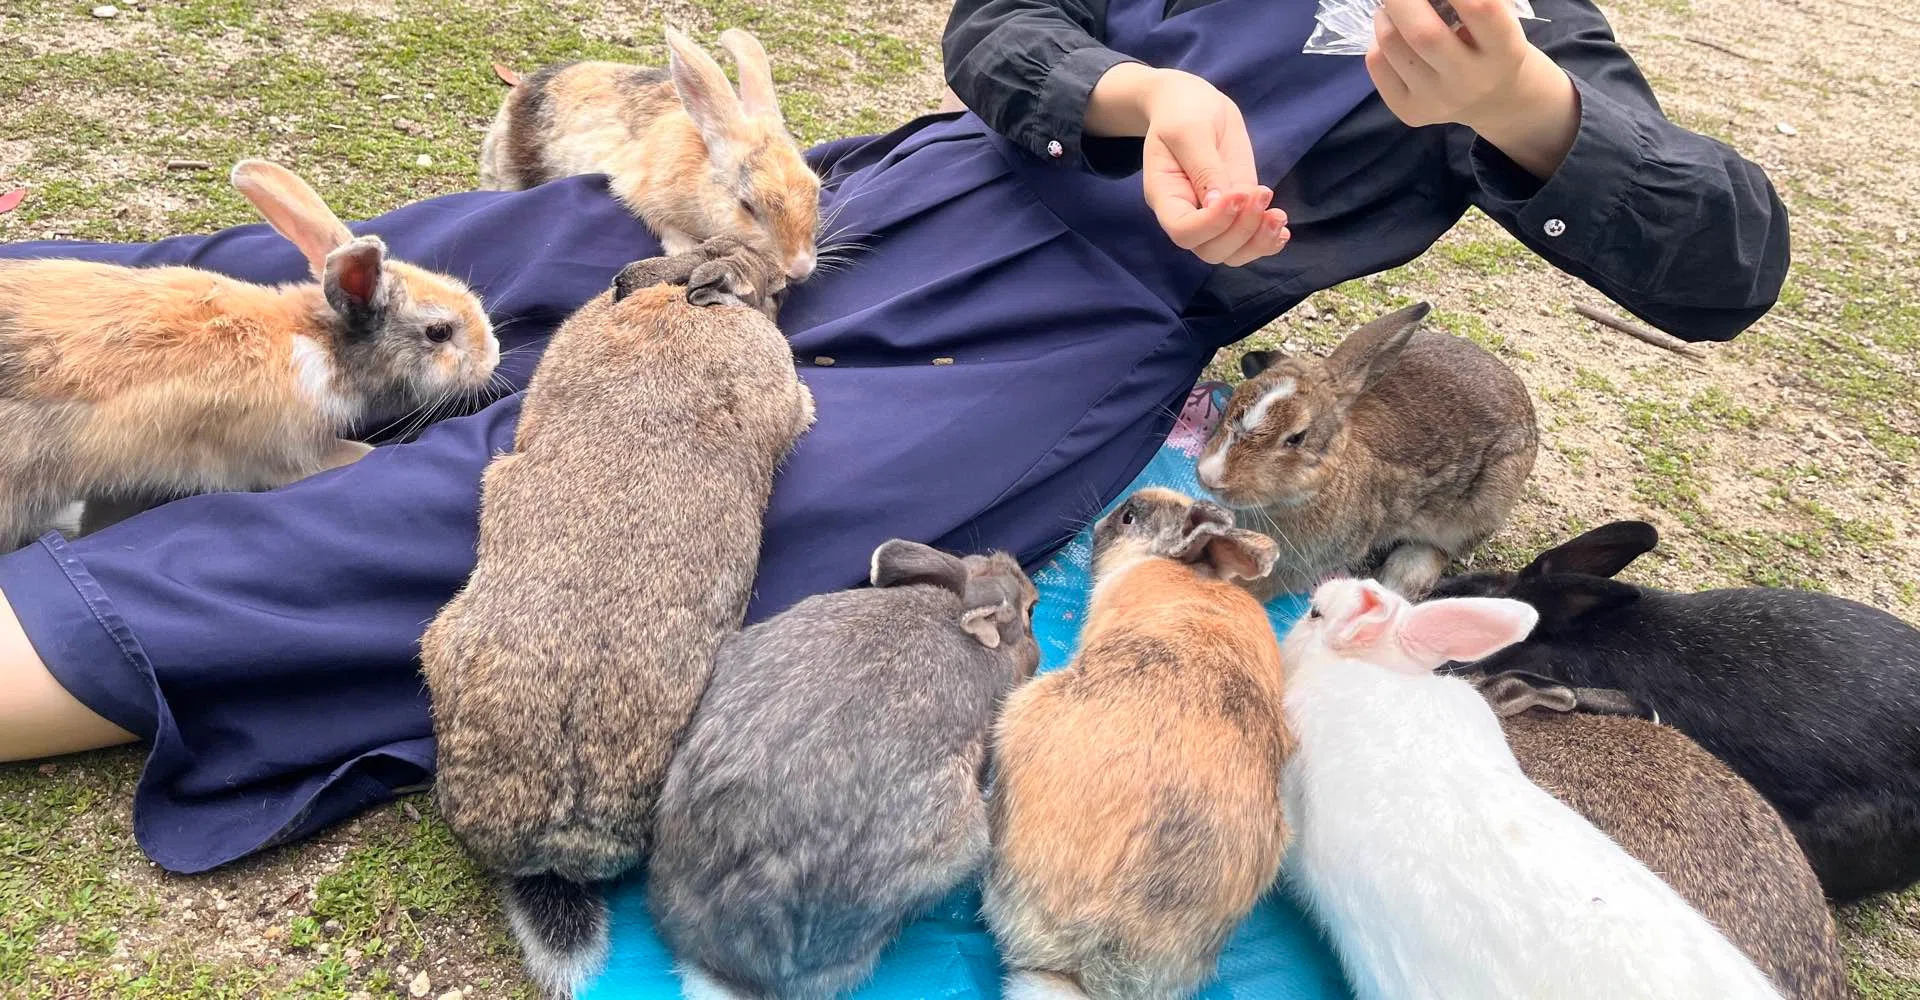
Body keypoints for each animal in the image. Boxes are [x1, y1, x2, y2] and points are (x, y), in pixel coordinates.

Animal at [479, 24, 821, 283]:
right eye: (746, 206)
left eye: (816, 191)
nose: (800, 268)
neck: (699, 172)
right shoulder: (641, 194)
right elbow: (663, 226)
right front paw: (683, 251)